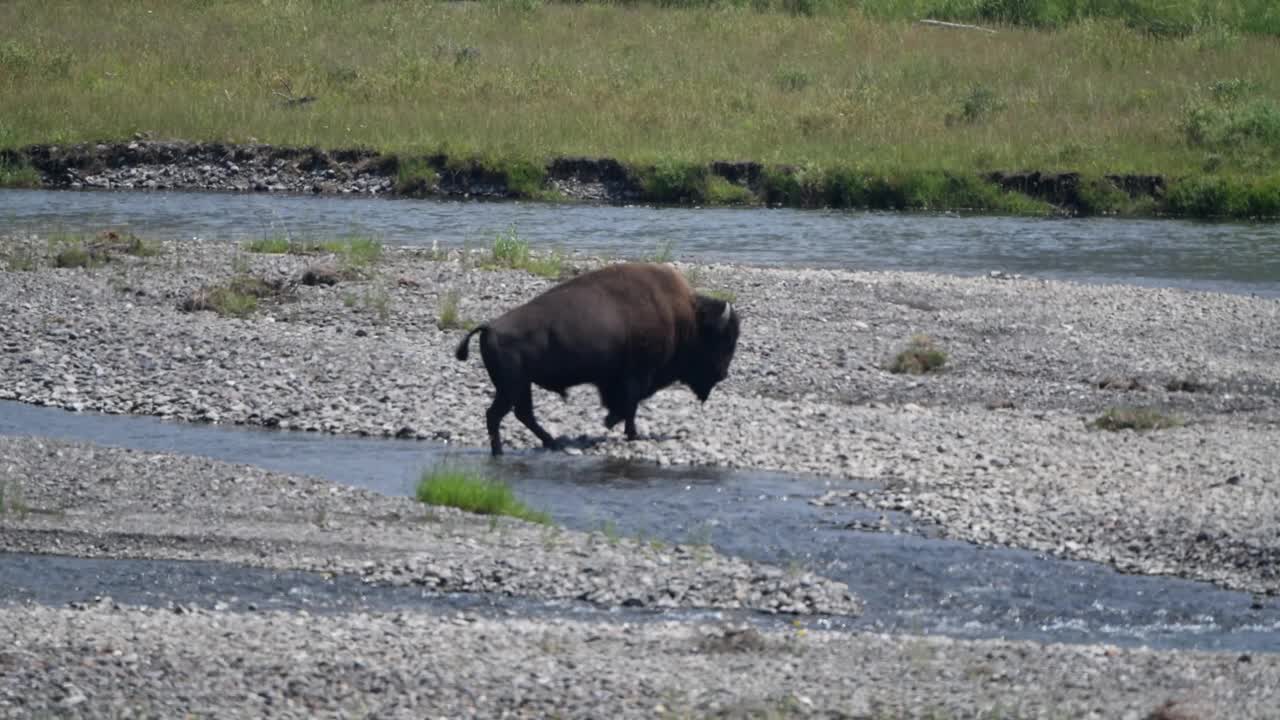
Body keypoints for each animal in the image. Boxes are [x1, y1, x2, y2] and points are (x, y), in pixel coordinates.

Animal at [458, 262, 742, 453]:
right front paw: (628, 432)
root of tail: (490, 327)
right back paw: (503, 451)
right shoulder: (637, 375)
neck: (686, 318)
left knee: (521, 414)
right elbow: (631, 403)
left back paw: (551, 442)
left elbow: (624, 403)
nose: (723, 374)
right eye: (725, 340)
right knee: (497, 415)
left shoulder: (615, 379)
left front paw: (612, 423)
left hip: (519, 386)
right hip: (511, 386)